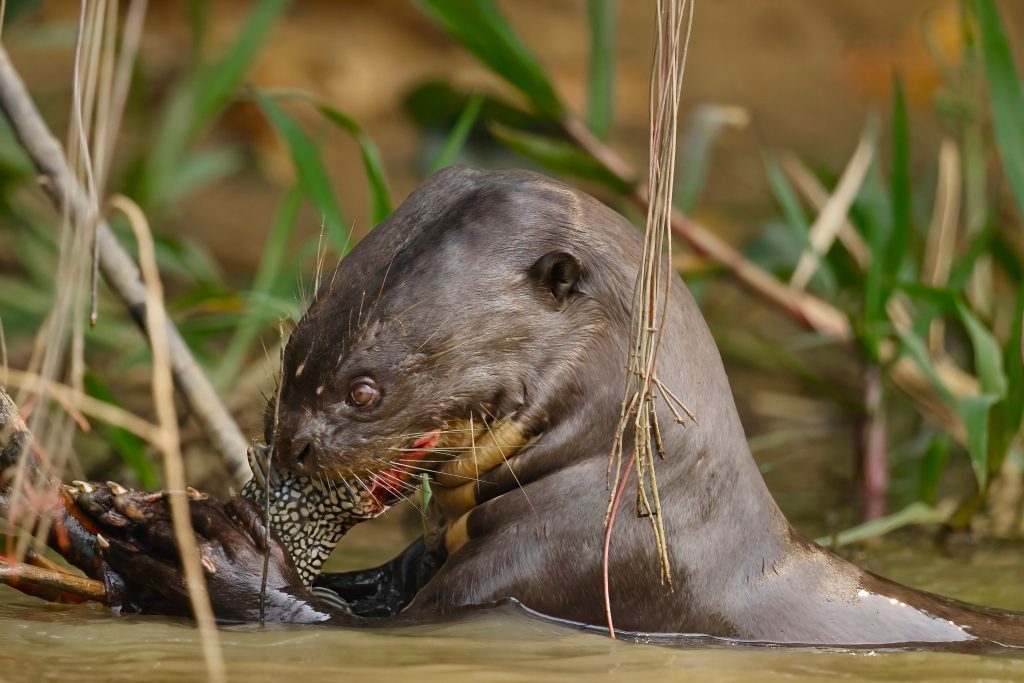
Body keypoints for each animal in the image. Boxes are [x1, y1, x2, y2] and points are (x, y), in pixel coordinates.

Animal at [64, 167, 1024, 648]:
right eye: (295, 354)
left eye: (365, 387)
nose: (288, 446)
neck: (631, 498)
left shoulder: (549, 568)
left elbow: (351, 626)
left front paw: (197, 552)